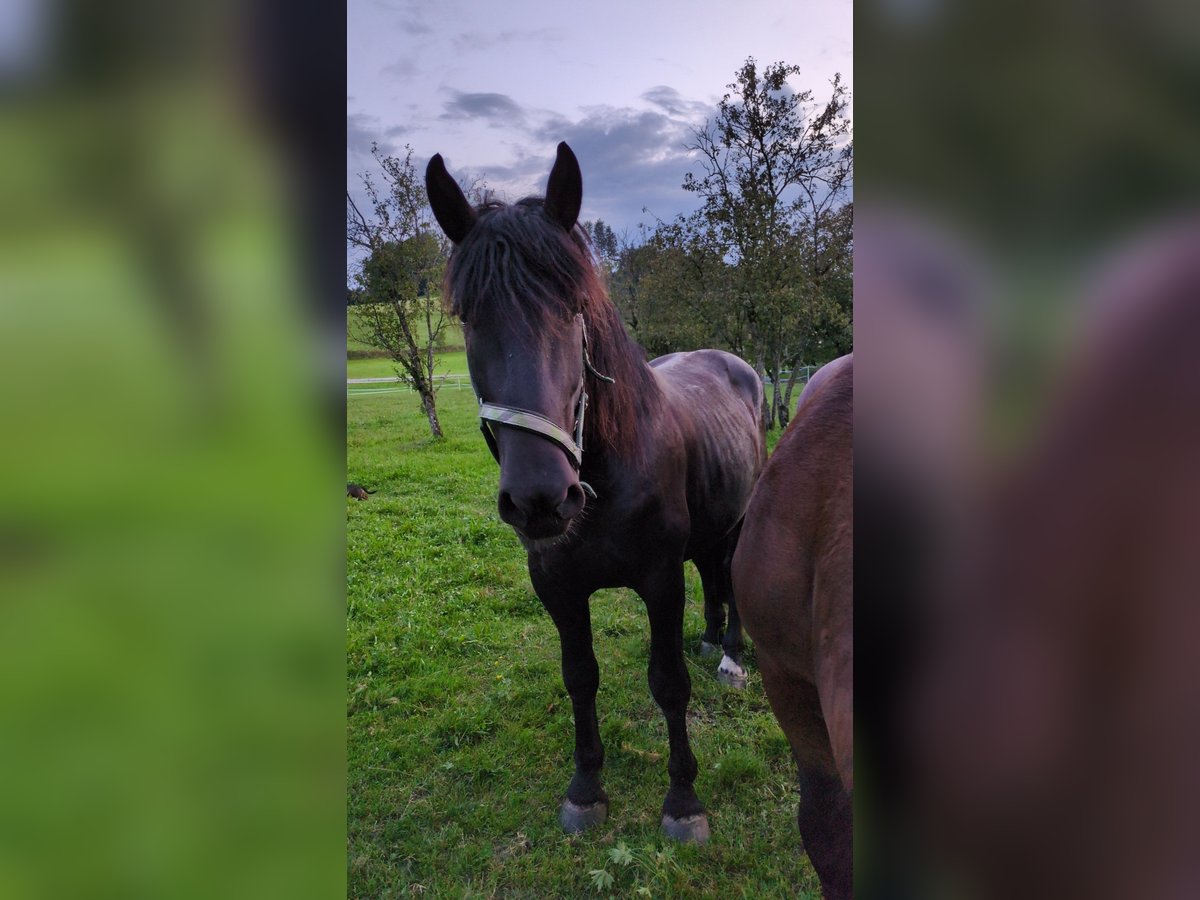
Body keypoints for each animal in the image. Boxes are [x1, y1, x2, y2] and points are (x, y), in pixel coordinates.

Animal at [427, 142, 763, 844]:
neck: (608, 476)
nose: (540, 499)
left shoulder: (660, 579)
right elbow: (580, 678)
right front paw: (585, 789)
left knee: (731, 576)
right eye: (467, 317)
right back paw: (712, 639)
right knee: (714, 576)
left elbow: (669, 684)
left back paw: (732, 658)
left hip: (738, 519)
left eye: (574, 307)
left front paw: (683, 801)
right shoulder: (556, 586)